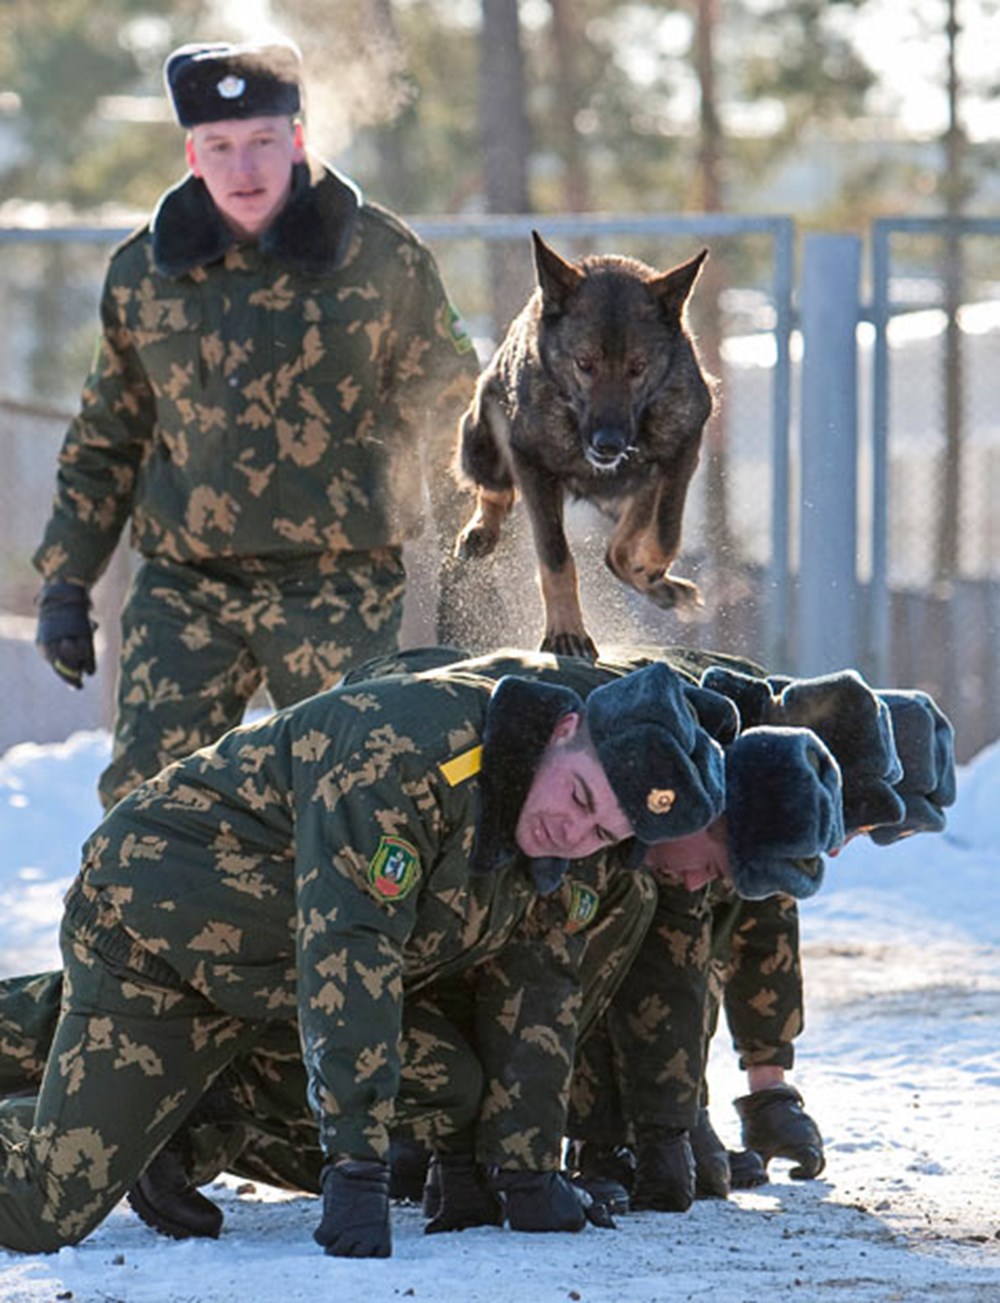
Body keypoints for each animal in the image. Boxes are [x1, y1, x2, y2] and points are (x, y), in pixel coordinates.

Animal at [453, 229, 709, 656]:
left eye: (638, 367)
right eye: (584, 364)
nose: (608, 444)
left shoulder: (684, 449)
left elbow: (666, 530)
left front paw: (651, 568)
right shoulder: (531, 465)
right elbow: (556, 558)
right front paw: (566, 632)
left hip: (644, 483)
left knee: (620, 547)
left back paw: (654, 581)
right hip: (479, 439)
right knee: (496, 489)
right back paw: (481, 529)